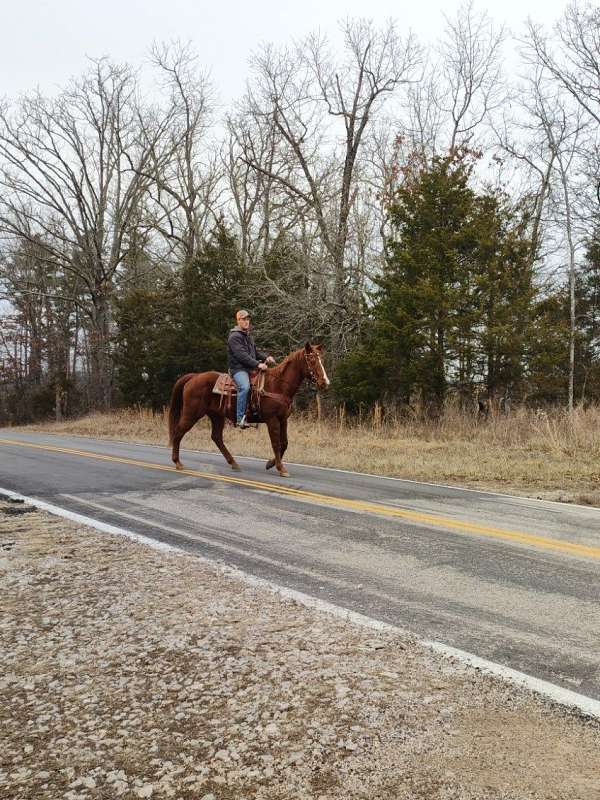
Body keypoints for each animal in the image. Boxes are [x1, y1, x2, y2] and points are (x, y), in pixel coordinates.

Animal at [168, 342, 328, 476]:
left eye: (322, 360)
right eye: (312, 360)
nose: (325, 382)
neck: (277, 385)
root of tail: (193, 377)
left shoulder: (283, 420)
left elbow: (284, 443)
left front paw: (270, 464)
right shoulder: (272, 420)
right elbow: (276, 444)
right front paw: (281, 468)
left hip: (216, 416)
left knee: (216, 437)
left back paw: (234, 463)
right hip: (191, 414)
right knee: (179, 432)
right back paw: (178, 462)